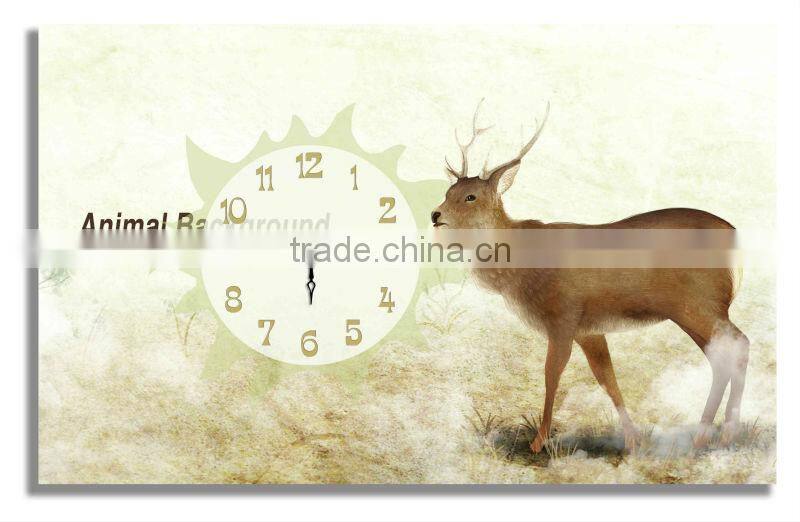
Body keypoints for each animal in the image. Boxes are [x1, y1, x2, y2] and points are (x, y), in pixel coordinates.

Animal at [431, 101, 749, 453]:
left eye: (471, 196)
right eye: (449, 190)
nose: (435, 214)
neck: (520, 269)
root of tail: (736, 241)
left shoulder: (563, 315)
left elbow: (551, 374)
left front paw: (539, 442)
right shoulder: (589, 329)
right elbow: (607, 377)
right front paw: (633, 439)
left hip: (699, 303)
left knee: (737, 345)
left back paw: (714, 434)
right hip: (697, 309)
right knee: (726, 354)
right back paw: (715, 434)